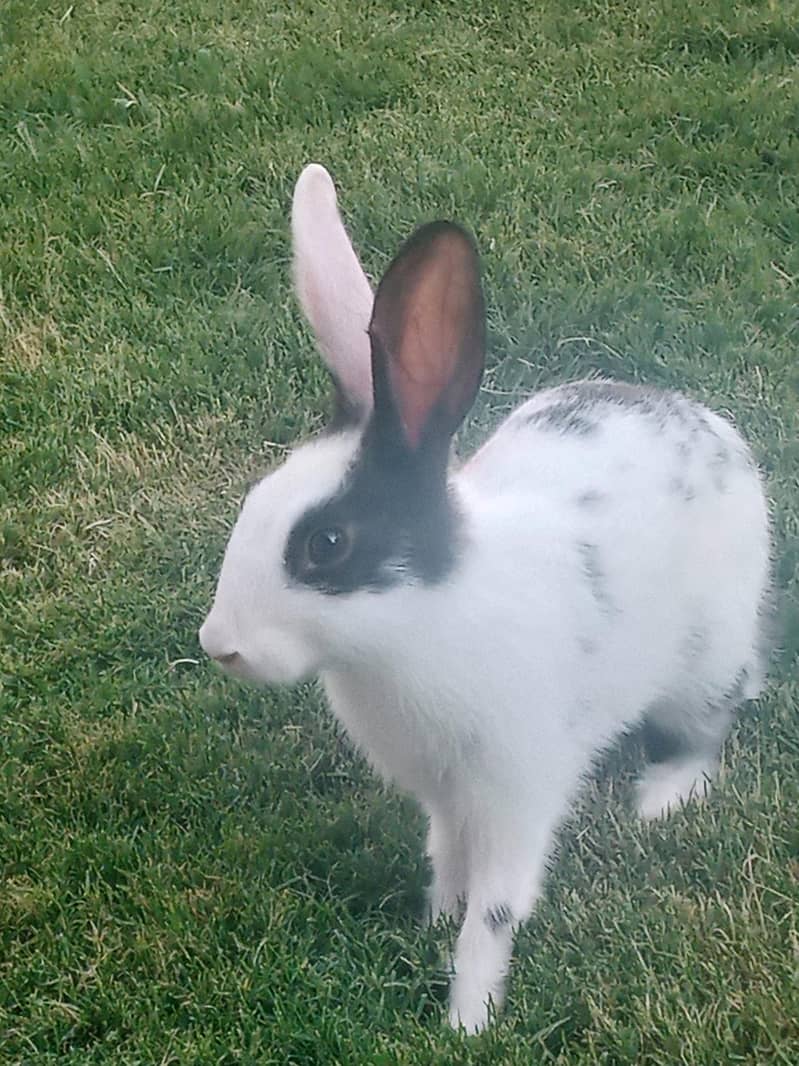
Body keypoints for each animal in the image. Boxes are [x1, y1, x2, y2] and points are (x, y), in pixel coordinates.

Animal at [199, 163, 772, 1033]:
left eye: (326, 545)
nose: (218, 644)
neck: (421, 621)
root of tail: (715, 431)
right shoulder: (444, 798)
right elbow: (446, 859)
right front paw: (429, 919)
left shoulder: (516, 791)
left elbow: (497, 908)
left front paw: (467, 1016)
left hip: (707, 660)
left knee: (705, 734)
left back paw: (657, 797)